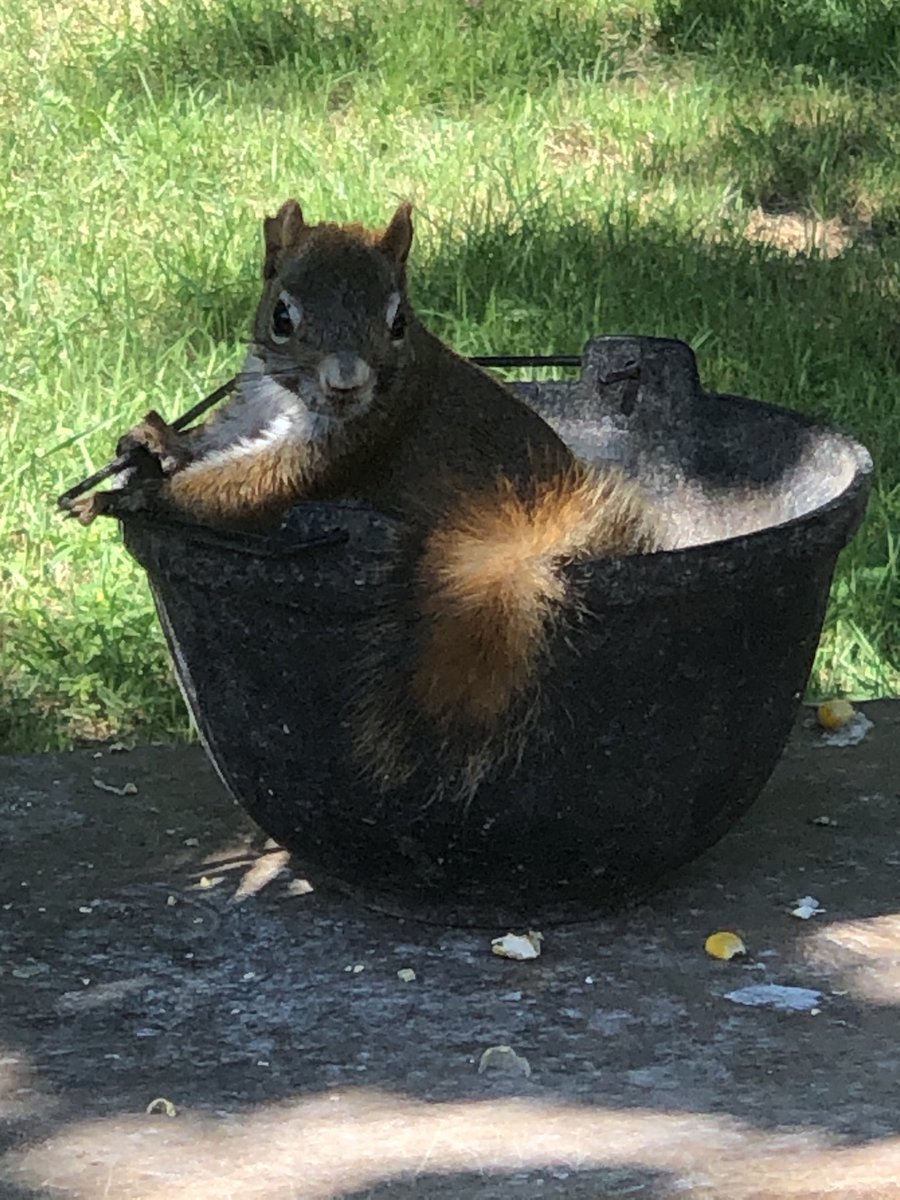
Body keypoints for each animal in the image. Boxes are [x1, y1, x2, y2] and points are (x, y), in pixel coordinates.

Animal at [71, 200, 660, 796]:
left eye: (398, 323)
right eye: (281, 317)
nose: (346, 382)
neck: (291, 397)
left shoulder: (347, 444)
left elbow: (248, 484)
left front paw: (138, 496)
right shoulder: (253, 408)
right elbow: (220, 441)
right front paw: (156, 441)